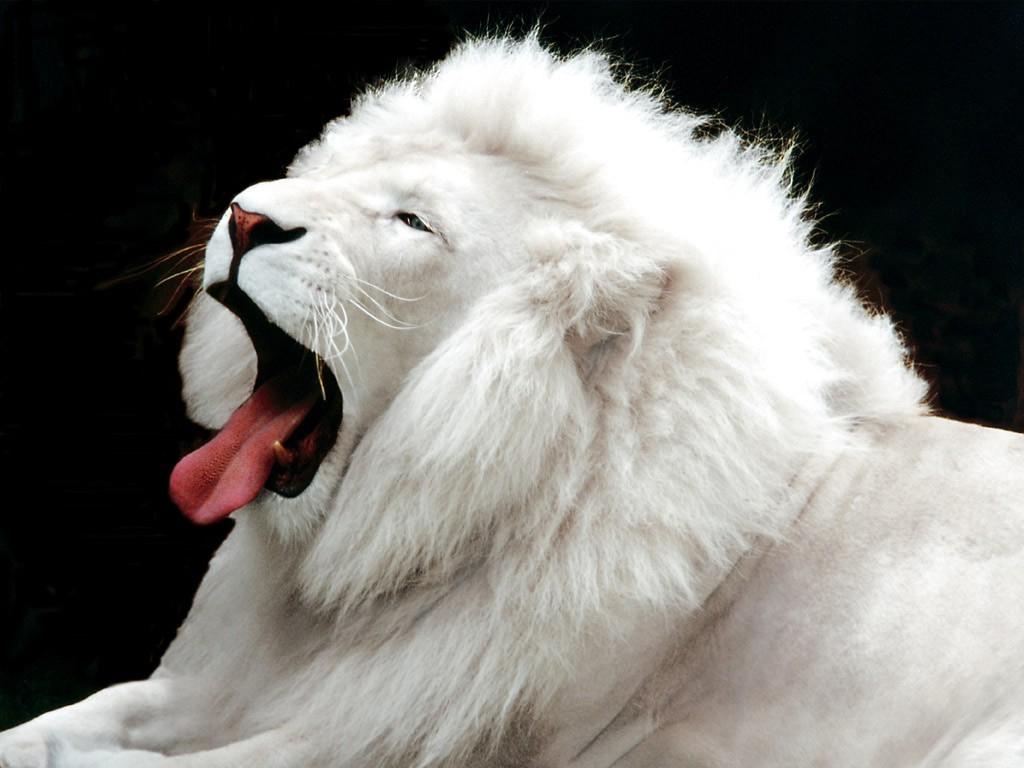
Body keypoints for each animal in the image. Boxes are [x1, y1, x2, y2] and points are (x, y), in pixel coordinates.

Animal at [3, 35, 1024, 768]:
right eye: (342, 174)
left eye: (413, 220)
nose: (246, 216)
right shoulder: (206, 688)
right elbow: (52, 730)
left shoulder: (375, 741)